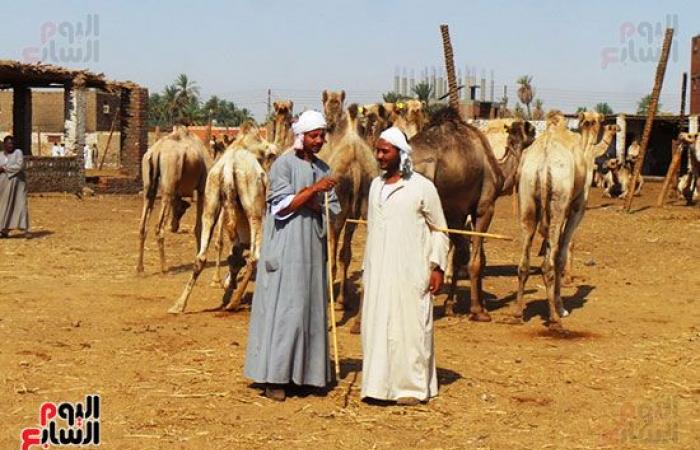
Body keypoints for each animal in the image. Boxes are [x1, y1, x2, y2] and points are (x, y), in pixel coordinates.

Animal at [135, 125, 212, 274]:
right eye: (182, 210)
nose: (174, 227)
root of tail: (156, 152)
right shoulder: (202, 189)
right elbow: (199, 226)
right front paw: (199, 257)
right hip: (169, 181)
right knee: (158, 227)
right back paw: (164, 268)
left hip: (148, 184)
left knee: (142, 225)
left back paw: (140, 267)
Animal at [168, 148, 266, 312]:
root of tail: (229, 166)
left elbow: (235, 256)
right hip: (254, 211)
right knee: (254, 257)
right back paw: (233, 303)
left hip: (211, 200)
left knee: (201, 257)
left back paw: (179, 305)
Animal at [516, 110, 616, 326]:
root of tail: (543, 162)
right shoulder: (577, 208)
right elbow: (563, 253)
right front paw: (562, 308)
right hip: (558, 203)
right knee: (549, 264)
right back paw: (554, 316)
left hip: (527, 196)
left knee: (524, 260)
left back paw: (518, 313)